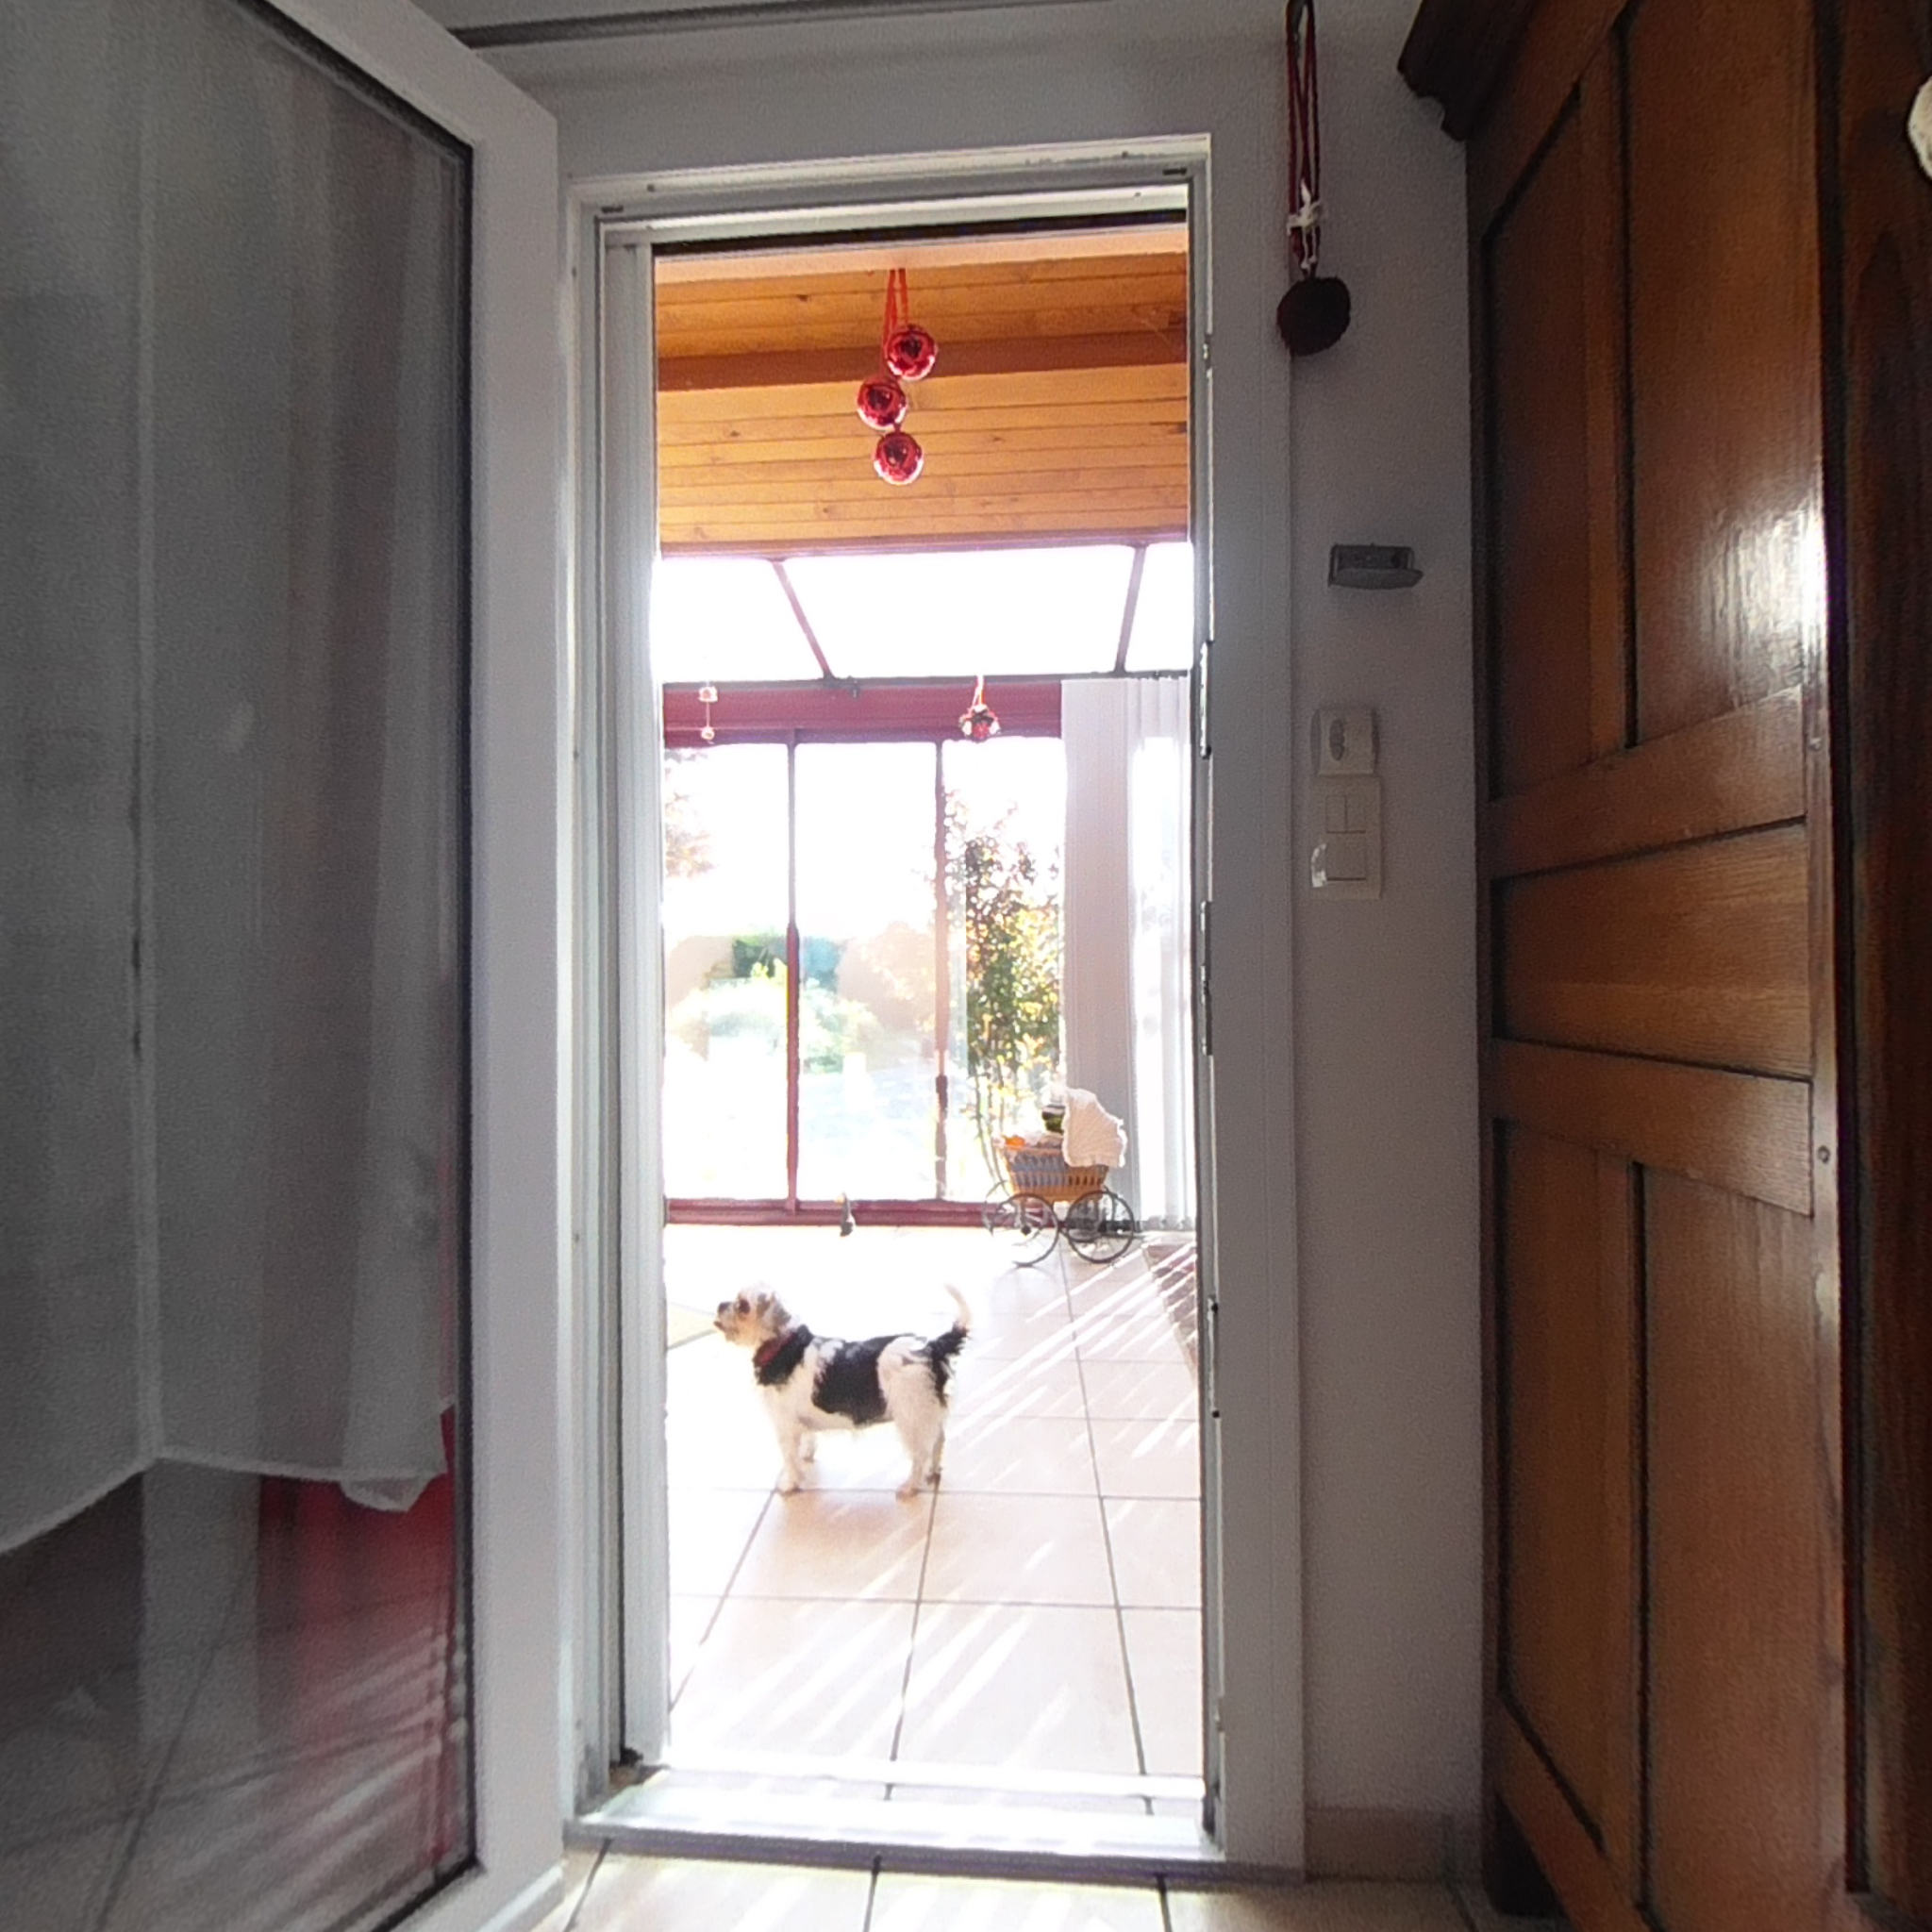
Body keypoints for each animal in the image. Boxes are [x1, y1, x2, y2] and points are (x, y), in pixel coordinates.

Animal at [713, 1284, 971, 1500]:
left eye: (743, 1306)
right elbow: (808, 1438)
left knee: (920, 1455)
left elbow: (790, 1459)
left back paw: (910, 1487)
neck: (783, 1346)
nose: (719, 1304)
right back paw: (933, 1472)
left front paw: (790, 1484)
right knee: (938, 1442)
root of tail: (932, 1347)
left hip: (911, 1419)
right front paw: (807, 1455)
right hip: (928, 1412)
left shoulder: (785, 1426)